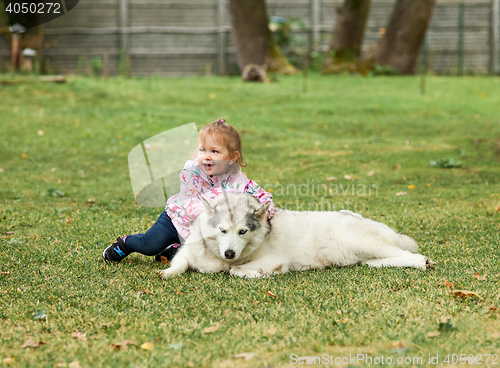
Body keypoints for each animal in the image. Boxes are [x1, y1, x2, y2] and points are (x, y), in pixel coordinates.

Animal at [159, 194, 434, 278]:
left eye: (242, 231)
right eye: (222, 230)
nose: (229, 253)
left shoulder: (273, 259)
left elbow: (236, 271)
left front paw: (258, 274)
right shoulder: (188, 251)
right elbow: (179, 263)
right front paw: (167, 272)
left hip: (363, 241)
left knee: (409, 254)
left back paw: (423, 261)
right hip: (365, 256)